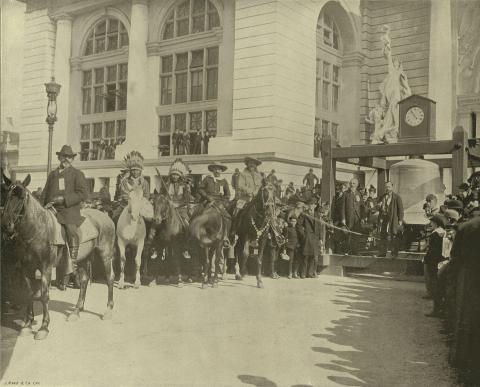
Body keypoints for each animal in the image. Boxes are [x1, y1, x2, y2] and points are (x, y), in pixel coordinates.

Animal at [0, 174, 115, 342]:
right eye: (6, 196)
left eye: (21, 197)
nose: (6, 225)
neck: (37, 230)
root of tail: (106, 217)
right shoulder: (26, 269)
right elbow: (29, 294)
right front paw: (27, 325)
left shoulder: (46, 268)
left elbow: (44, 295)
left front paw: (43, 327)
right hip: (83, 258)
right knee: (84, 280)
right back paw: (76, 311)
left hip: (105, 254)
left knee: (109, 279)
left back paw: (108, 310)